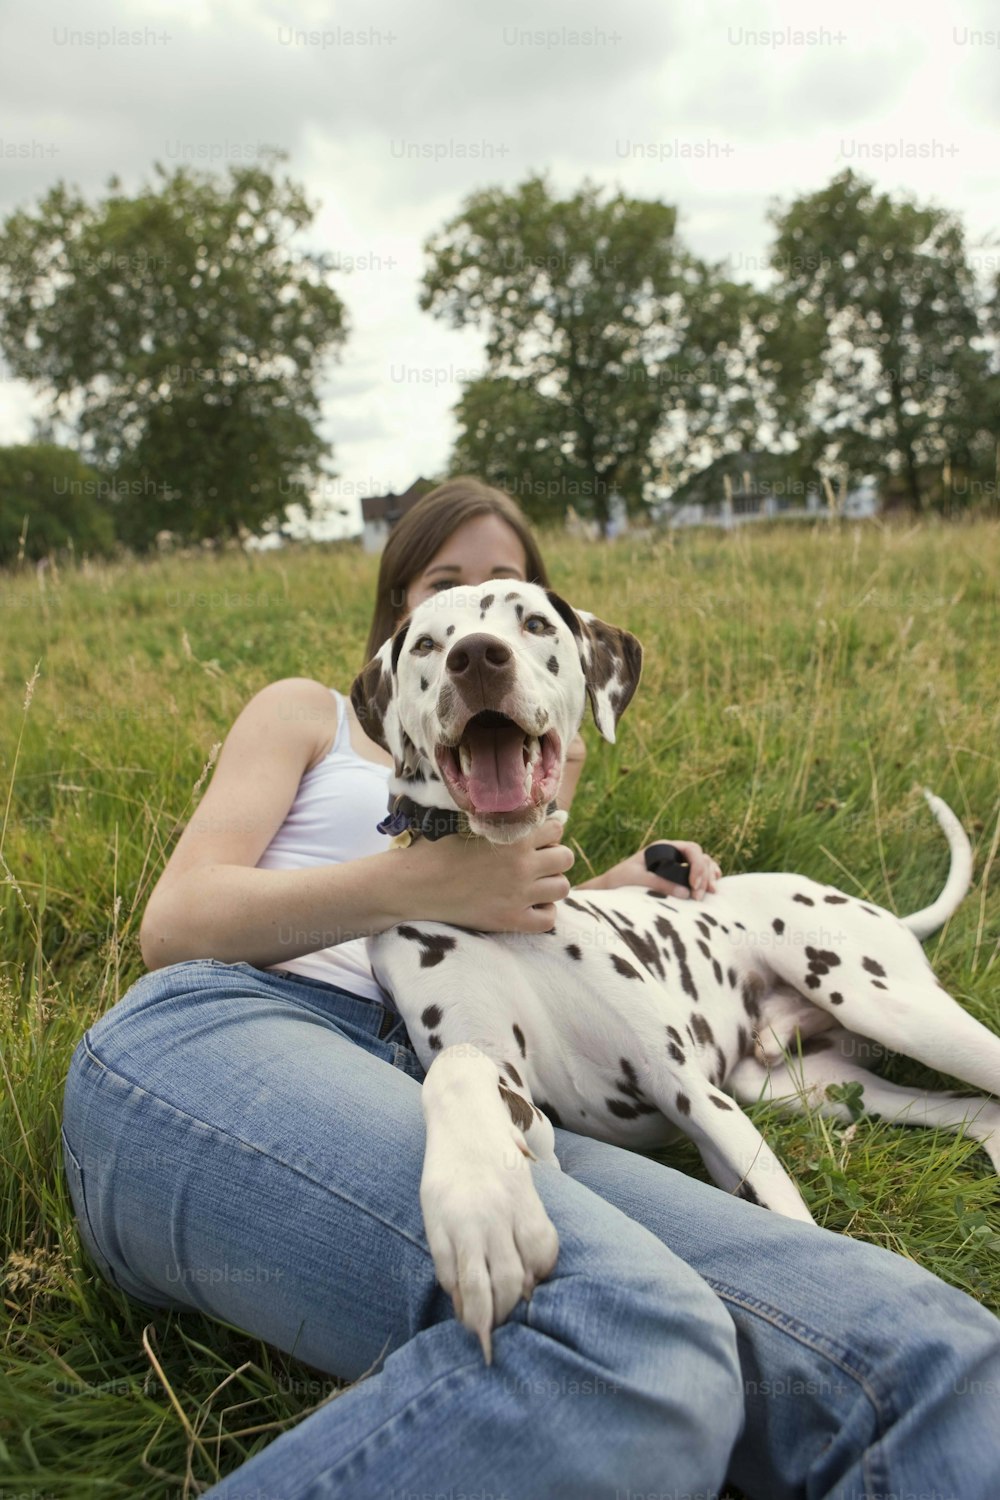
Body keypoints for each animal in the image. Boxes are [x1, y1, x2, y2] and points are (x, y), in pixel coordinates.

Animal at [347, 579, 995, 1368]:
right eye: (427, 645)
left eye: (532, 622)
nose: (476, 658)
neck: (508, 909)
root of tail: (880, 912)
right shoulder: (521, 1099)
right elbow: (460, 1071)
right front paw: (482, 1210)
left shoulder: (692, 1092)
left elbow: (790, 1218)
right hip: (814, 1090)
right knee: (977, 1111)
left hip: (885, 1009)